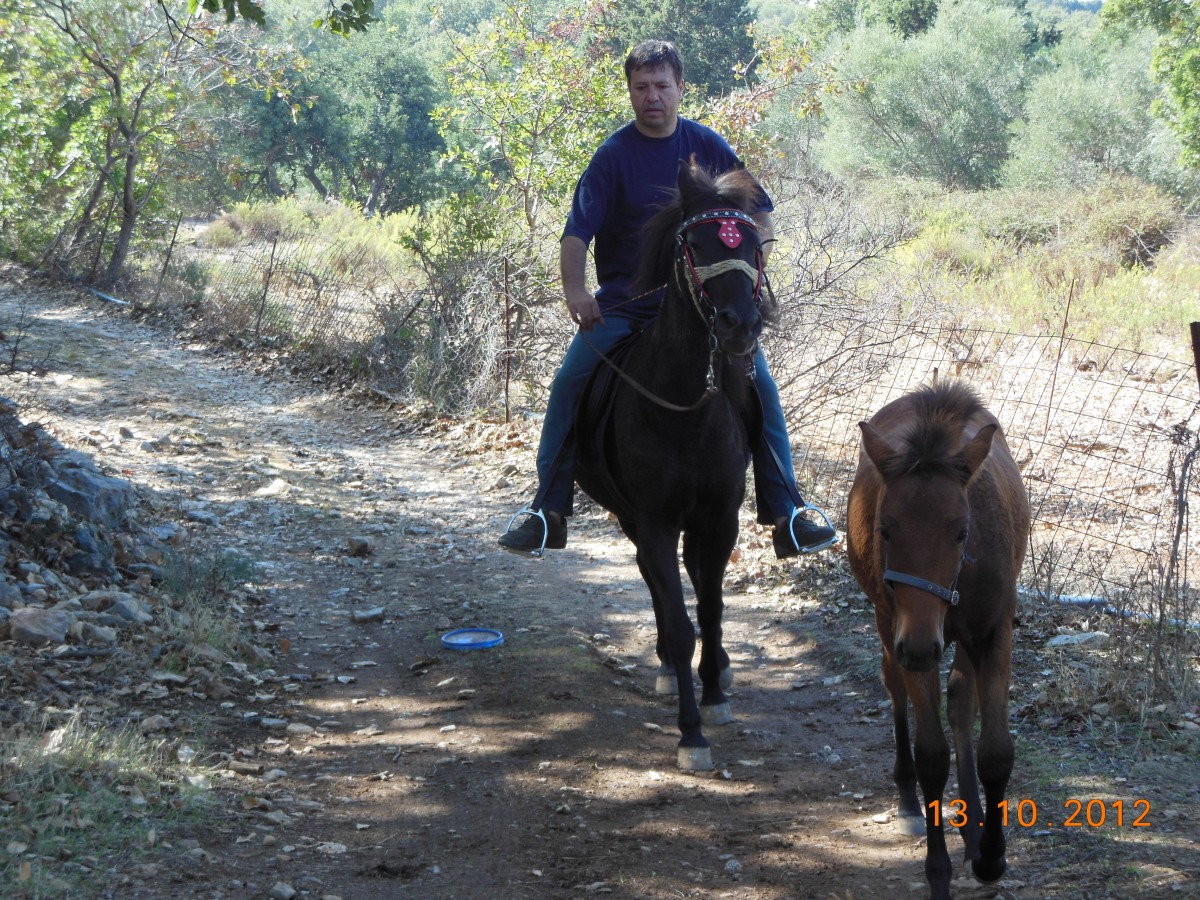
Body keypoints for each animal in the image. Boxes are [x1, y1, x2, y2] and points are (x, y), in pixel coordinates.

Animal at [571, 158, 768, 772]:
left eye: (751, 242)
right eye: (696, 244)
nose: (739, 324)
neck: (687, 410)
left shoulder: (720, 518)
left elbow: (710, 605)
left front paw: (715, 693)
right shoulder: (655, 519)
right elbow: (680, 622)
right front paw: (691, 733)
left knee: (693, 581)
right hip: (633, 518)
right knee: (654, 580)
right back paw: (665, 665)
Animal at [844, 381, 1032, 900]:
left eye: (961, 531)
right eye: (886, 529)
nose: (920, 646)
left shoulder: (993, 631)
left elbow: (996, 750)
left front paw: (989, 856)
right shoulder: (906, 632)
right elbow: (931, 755)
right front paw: (939, 873)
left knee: (960, 700)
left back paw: (973, 832)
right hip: (890, 626)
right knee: (895, 687)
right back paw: (909, 800)